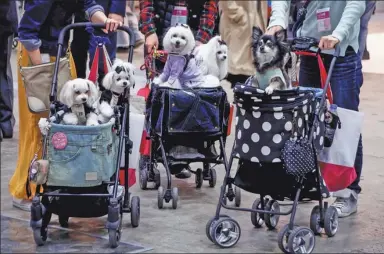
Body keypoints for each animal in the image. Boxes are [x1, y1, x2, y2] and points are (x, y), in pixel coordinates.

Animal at [207, 38, 342, 254]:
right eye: (260, 42)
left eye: (269, 43)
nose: (262, 47)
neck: (266, 66)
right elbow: (254, 82)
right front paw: (222, 228)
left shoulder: (278, 79)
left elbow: (274, 83)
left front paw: (298, 240)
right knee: (266, 198)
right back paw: (266, 212)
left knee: (322, 206)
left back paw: (324, 220)